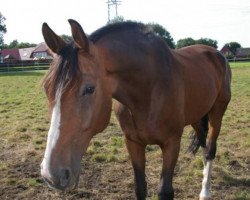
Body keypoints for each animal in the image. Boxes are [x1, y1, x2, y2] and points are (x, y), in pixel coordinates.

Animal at [40, 19, 230, 200]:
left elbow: (165, 191)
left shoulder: (172, 143)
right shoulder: (133, 142)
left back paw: (205, 191)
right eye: (46, 89)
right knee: (203, 144)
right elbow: (140, 188)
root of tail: (215, 53)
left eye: (89, 89)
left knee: (210, 150)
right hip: (197, 116)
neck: (150, 88)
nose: (51, 175)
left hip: (217, 114)